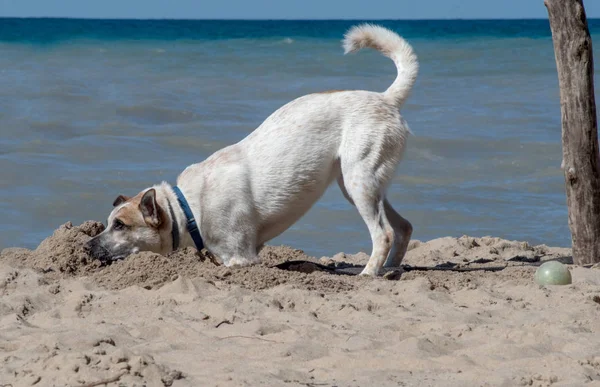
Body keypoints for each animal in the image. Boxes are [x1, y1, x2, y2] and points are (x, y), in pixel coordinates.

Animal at [86, 23, 420, 276]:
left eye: (120, 225)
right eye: (108, 222)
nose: (86, 245)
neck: (188, 208)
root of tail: (386, 98)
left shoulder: (241, 257)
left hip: (358, 183)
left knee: (384, 234)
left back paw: (368, 274)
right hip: (359, 186)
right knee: (403, 227)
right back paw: (391, 269)